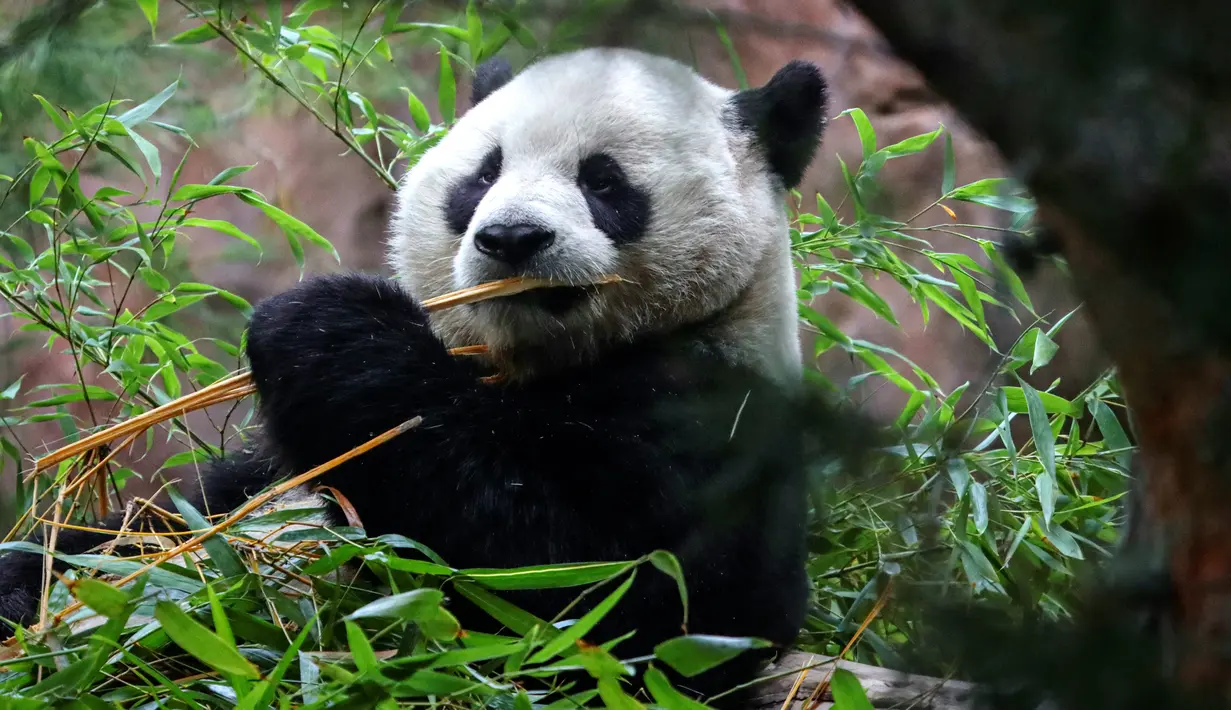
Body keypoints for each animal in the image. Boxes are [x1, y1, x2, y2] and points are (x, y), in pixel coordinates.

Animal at [0, 47, 829, 699]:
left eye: (602, 180)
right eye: (483, 175)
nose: (511, 238)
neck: (533, 362)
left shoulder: (712, 421)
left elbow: (591, 597)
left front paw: (324, 321)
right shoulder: (255, 481)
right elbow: (148, 529)